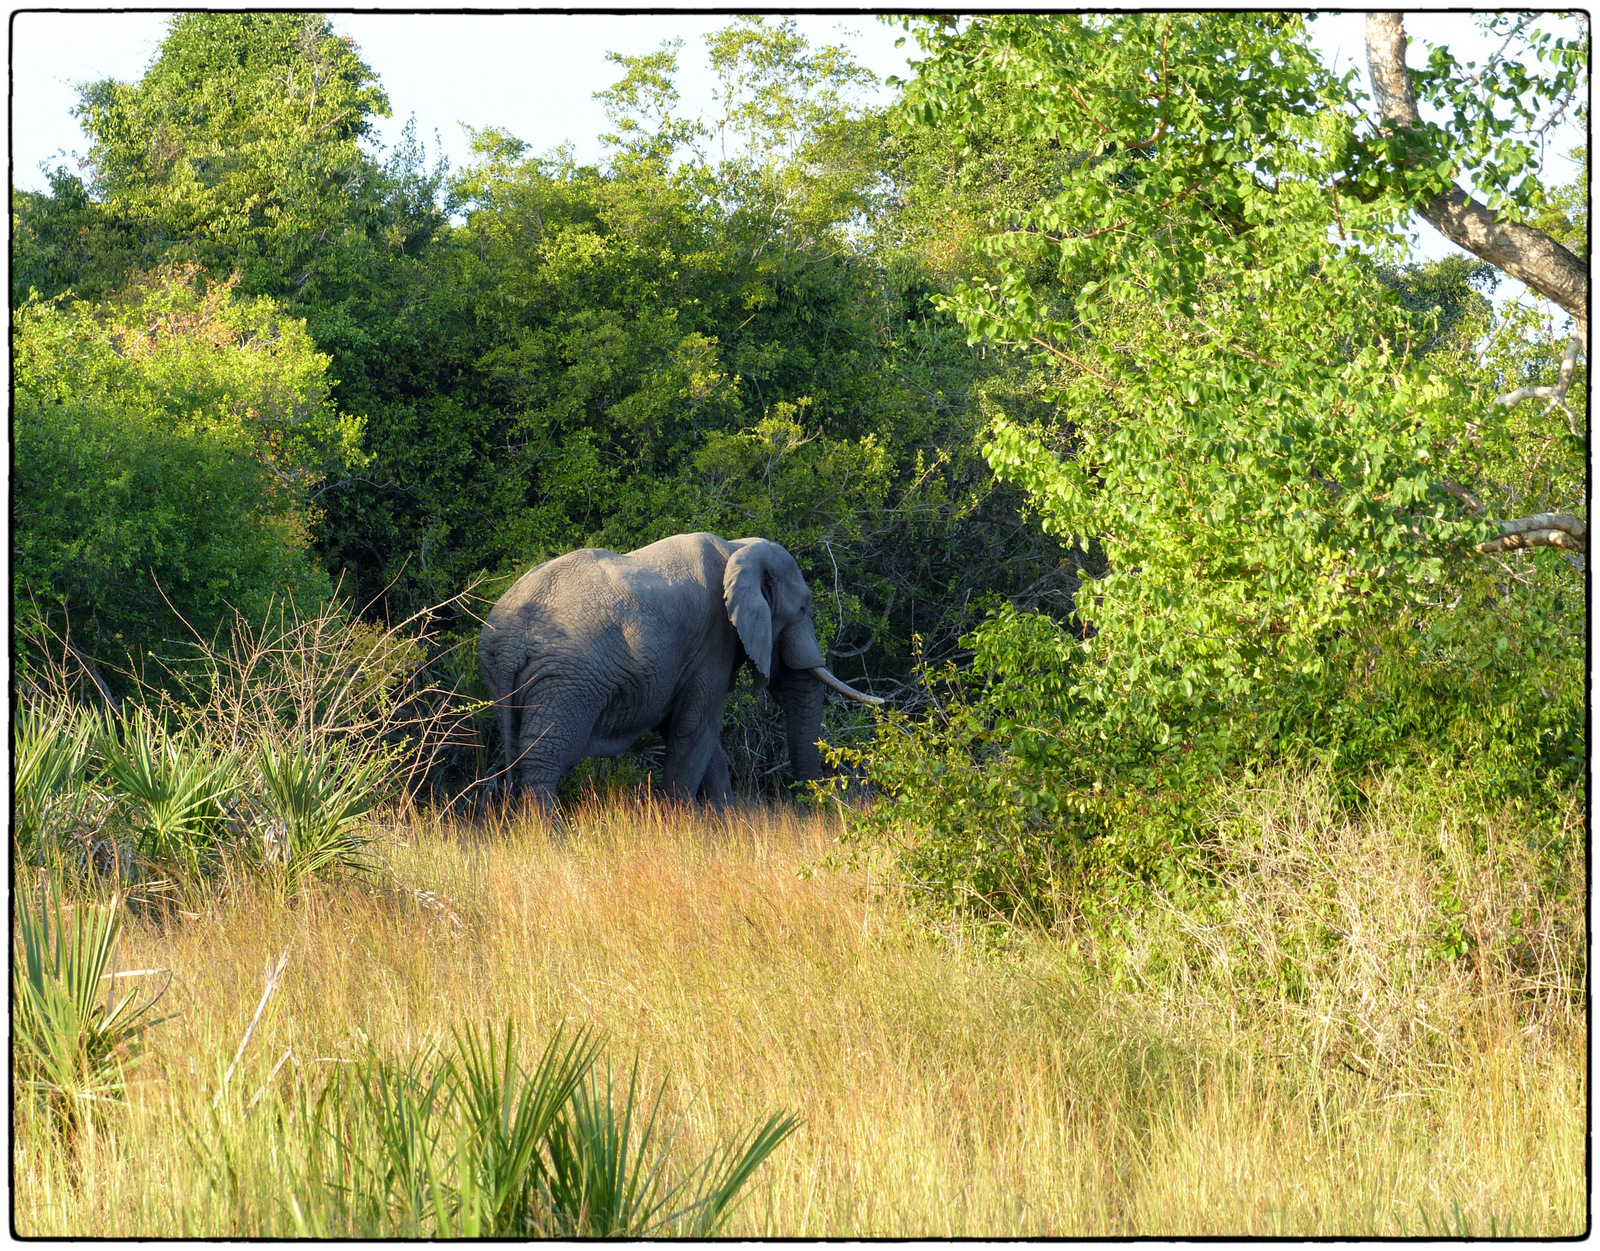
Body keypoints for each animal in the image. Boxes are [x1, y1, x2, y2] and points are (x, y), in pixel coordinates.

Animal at [476, 531, 876, 812]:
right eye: (804, 608)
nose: (816, 813)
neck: (737, 549)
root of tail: (509, 638)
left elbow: (694, 736)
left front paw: (728, 825)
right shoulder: (713, 640)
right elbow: (695, 728)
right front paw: (686, 828)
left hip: (507, 678)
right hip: (567, 683)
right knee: (544, 760)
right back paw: (553, 839)